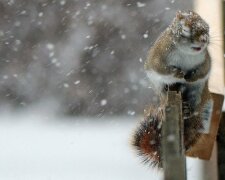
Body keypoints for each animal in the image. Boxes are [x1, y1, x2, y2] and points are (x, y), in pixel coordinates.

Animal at [131, 10, 214, 169]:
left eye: (207, 28)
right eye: (186, 29)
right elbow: (162, 68)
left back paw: (188, 109)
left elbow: (203, 71)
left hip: (198, 93)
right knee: (166, 94)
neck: (187, 53)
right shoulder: (158, 57)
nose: (204, 39)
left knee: (193, 107)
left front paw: (191, 76)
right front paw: (179, 73)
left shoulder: (206, 60)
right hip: (161, 89)